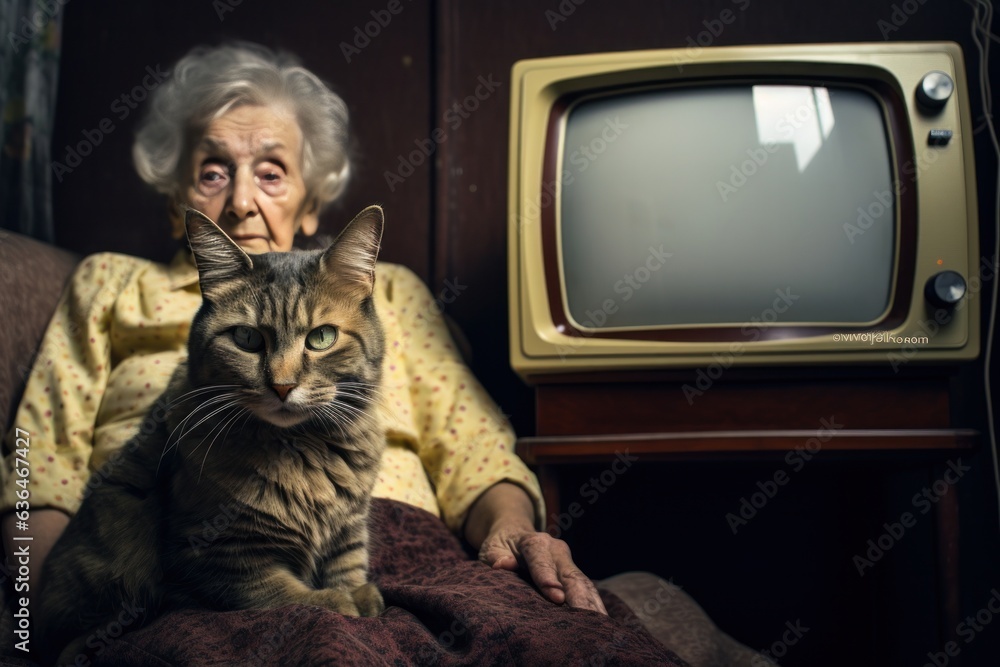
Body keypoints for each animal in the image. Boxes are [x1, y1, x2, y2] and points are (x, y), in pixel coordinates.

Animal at [36, 206, 386, 664]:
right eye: (247, 338)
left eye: (322, 337)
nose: (282, 386)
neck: (300, 449)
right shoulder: (217, 555)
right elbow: (286, 595)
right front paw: (339, 602)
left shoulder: (349, 526)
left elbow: (347, 565)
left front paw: (357, 593)